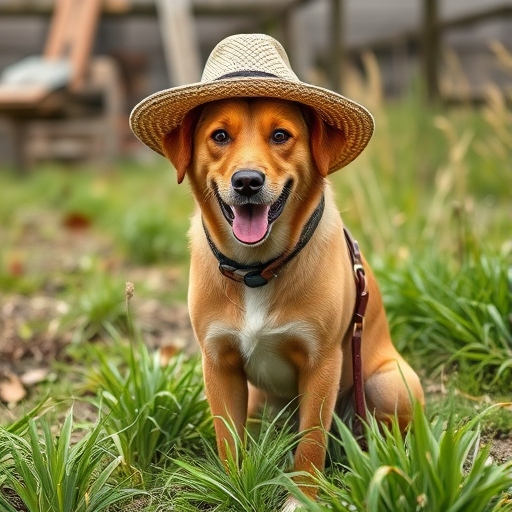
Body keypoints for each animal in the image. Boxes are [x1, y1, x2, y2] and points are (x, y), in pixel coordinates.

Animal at [131, 34, 424, 510]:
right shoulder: (219, 365)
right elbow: (228, 441)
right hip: (258, 402)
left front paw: (302, 498)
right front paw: (233, 488)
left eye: (281, 135)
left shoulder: (321, 364)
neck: (257, 269)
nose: (247, 181)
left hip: (388, 382)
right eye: (219, 136)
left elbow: (311, 444)